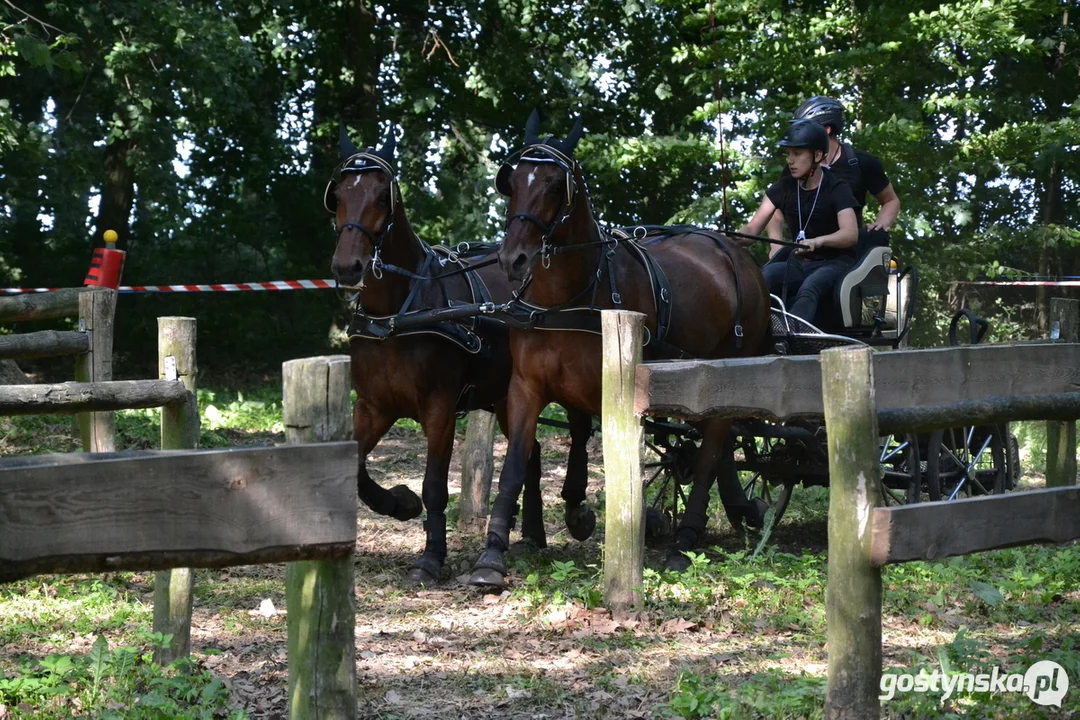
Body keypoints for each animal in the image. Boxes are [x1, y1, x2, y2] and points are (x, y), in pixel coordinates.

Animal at [328, 126, 600, 587]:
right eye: (339, 193)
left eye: (383, 195)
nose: (349, 266)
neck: (397, 314)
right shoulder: (373, 406)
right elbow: (357, 469)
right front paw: (399, 503)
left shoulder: (439, 407)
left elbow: (435, 484)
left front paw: (431, 556)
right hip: (507, 396)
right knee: (532, 452)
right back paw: (531, 535)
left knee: (577, 432)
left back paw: (573, 513)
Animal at [468, 112, 773, 587]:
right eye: (512, 181)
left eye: (556, 186)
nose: (512, 259)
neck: (566, 299)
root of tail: (738, 254)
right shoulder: (527, 387)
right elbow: (517, 462)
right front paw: (493, 553)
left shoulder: (614, 392)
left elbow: (615, 464)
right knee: (718, 447)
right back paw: (731, 511)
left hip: (730, 372)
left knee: (710, 451)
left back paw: (685, 539)